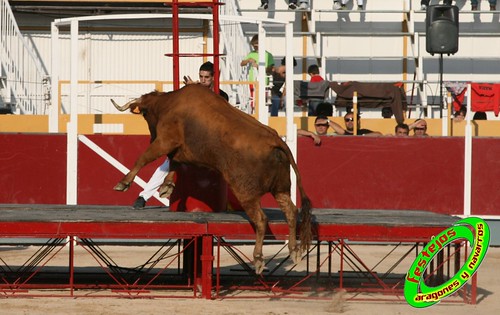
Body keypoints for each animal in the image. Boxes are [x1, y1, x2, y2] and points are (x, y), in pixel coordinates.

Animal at [111, 84, 310, 274]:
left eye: (144, 114)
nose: (151, 136)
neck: (168, 103)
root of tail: (276, 140)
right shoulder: (178, 149)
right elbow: (173, 163)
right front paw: (167, 185)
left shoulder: (165, 141)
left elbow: (143, 159)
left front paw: (123, 183)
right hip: (281, 190)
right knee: (291, 212)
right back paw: (294, 250)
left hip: (246, 194)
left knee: (261, 220)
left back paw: (259, 259)